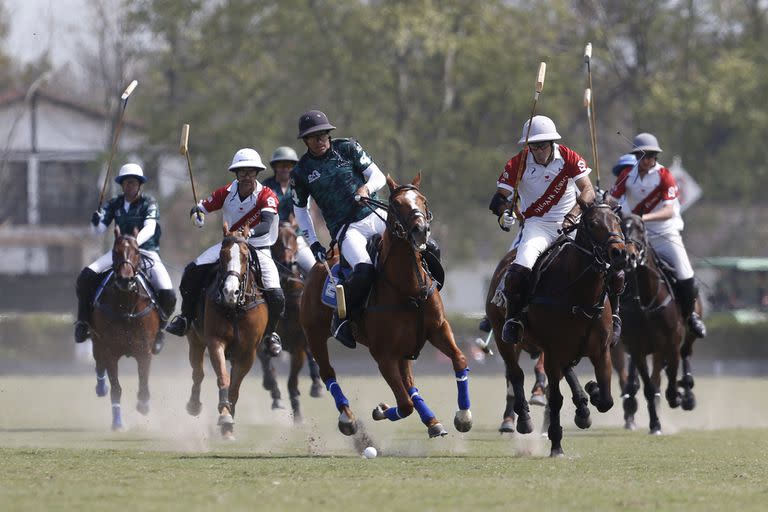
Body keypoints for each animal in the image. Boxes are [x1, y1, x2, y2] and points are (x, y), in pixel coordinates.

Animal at [91, 226, 161, 430]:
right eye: (115, 251)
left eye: (137, 251)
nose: (125, 280)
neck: (126, 306)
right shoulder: (110, 351)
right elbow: (116, 388)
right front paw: (118, 423)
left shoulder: (144, 351)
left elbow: (143, 385)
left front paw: (143, 405)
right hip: (96, 340)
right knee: (98, 362)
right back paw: (101, 386)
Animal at [184, 224, 268, 440]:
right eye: (222, 255)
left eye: (246, 257)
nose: (230, 292)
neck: (236, 308)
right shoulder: (216, 342)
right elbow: (223, 379)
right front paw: (224, 415)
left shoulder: (247, 353)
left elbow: (234, 388)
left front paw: (228, 424)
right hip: (195, 339)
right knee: (198, 372)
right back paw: (194, 405)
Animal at [255, 220, 320, 420]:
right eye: (274, 240)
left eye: (292, 236)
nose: (288, 264)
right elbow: (268, 369)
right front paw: (273, 392)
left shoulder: (297, 347)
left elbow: (292, 382)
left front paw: (297, 413)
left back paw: (317, 384)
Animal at [302, 174, 474, 438]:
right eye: (396, 204)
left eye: (423, 200)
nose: (421, 230)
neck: (409, 289)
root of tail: (318, 265)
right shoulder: (383, 355)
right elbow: (404, 405)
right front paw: (380, 410)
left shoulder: (438, 328)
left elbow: (460, 359)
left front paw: (463, 416)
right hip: (314, 334)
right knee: (327, 372)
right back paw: (347, 418)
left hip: (405, 345)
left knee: (410, 382)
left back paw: (432, 421)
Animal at [616, 212, 700, 432]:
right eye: (621, 227)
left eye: (640, 228)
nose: (629, 256)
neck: (647, 301)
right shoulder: (637, 349)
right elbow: (648, 387)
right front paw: (655, 424)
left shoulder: (671, 342)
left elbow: (670, 376)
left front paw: (676, 396)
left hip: (686, 335)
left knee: (685, 353)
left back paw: (687, 393)